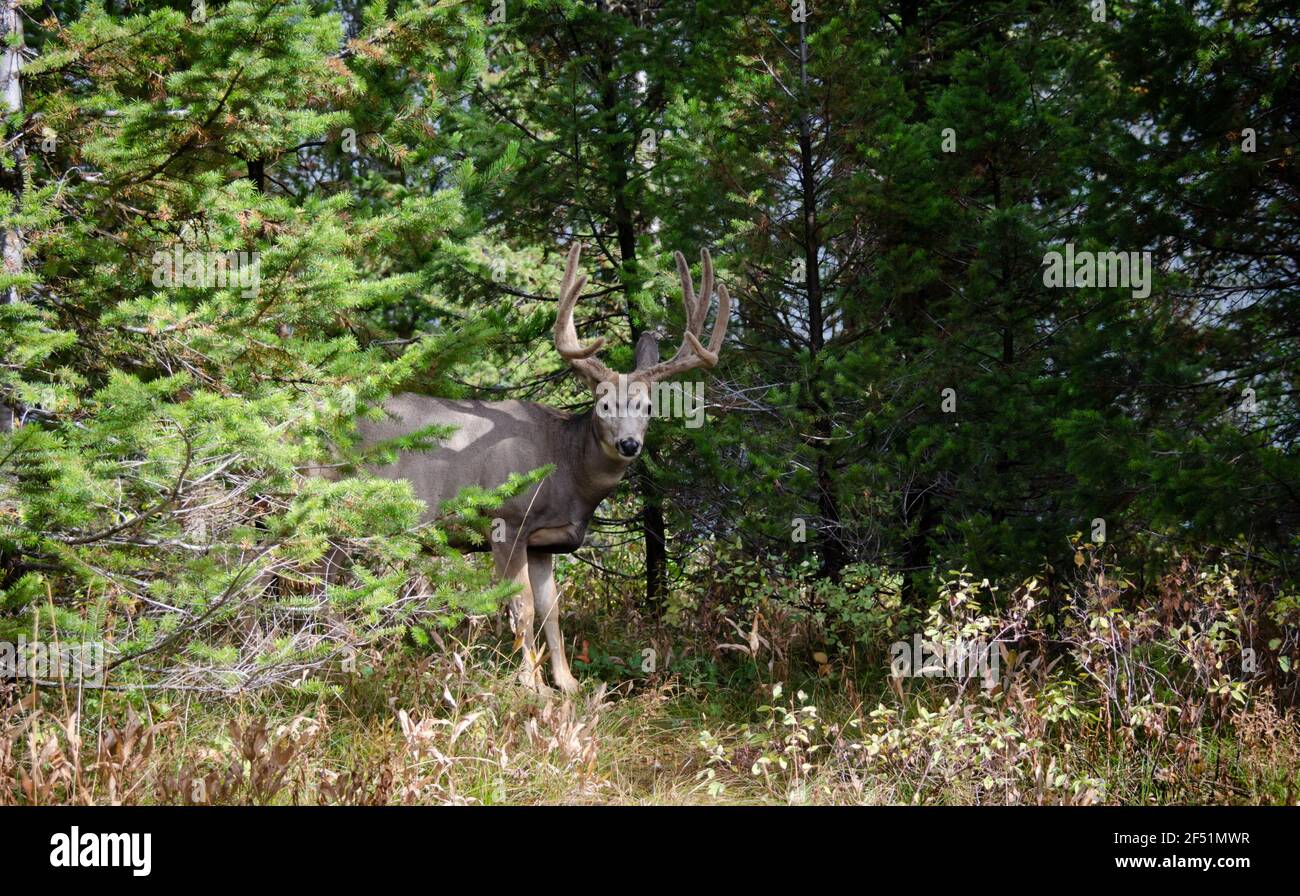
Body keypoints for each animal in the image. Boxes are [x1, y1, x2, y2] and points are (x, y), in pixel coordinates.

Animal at [356, 244, 733, 691]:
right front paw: (533, 687)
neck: (564, 470)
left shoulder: (544, 542)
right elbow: (522, 607)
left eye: (647, 406)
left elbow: (551, 609)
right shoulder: (505, 521)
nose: (629, 444)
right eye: (604, 404)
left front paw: (568, 683)